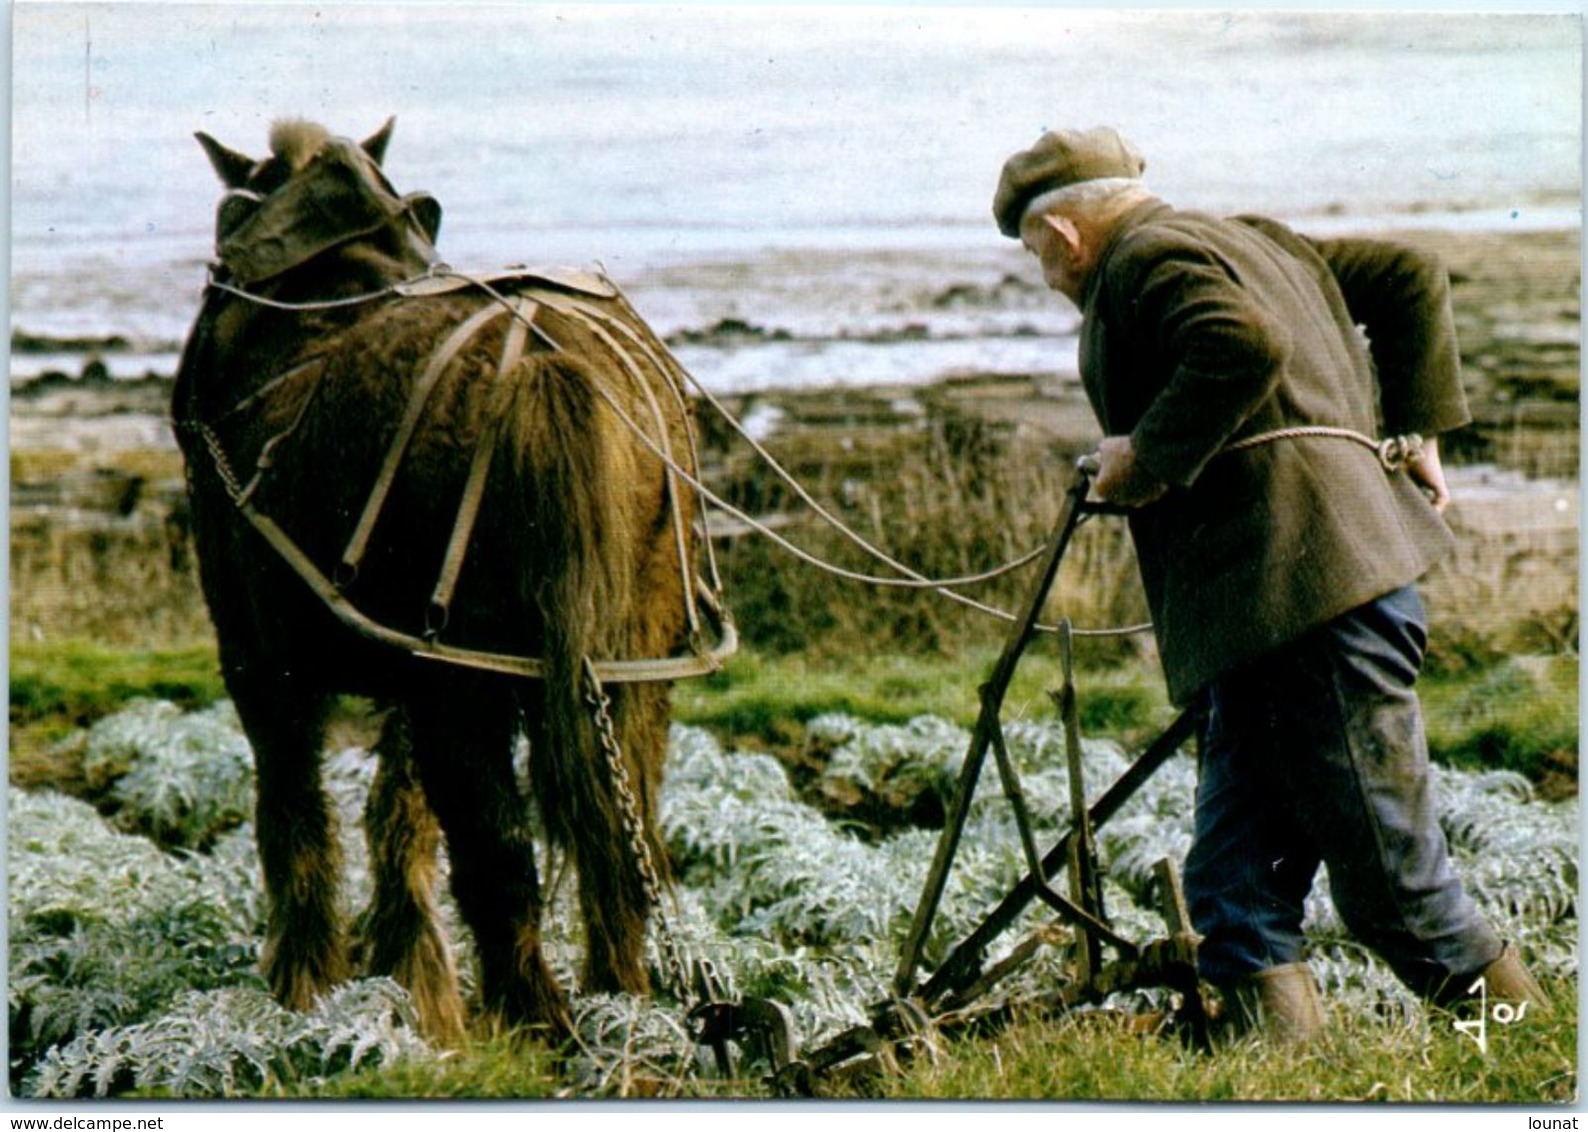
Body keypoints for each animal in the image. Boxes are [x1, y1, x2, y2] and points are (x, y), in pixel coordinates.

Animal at [170, 116, 727, 1041]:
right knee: (622, 839)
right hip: (626, 669)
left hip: (461, 680)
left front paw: (305, 984)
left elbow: (295, 814)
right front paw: (416, 982)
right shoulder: (415, 671)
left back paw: (538, 1023)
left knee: (500, 855)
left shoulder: (260, 660)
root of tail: (544, 362)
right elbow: (400, 812)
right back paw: (623, 1010)